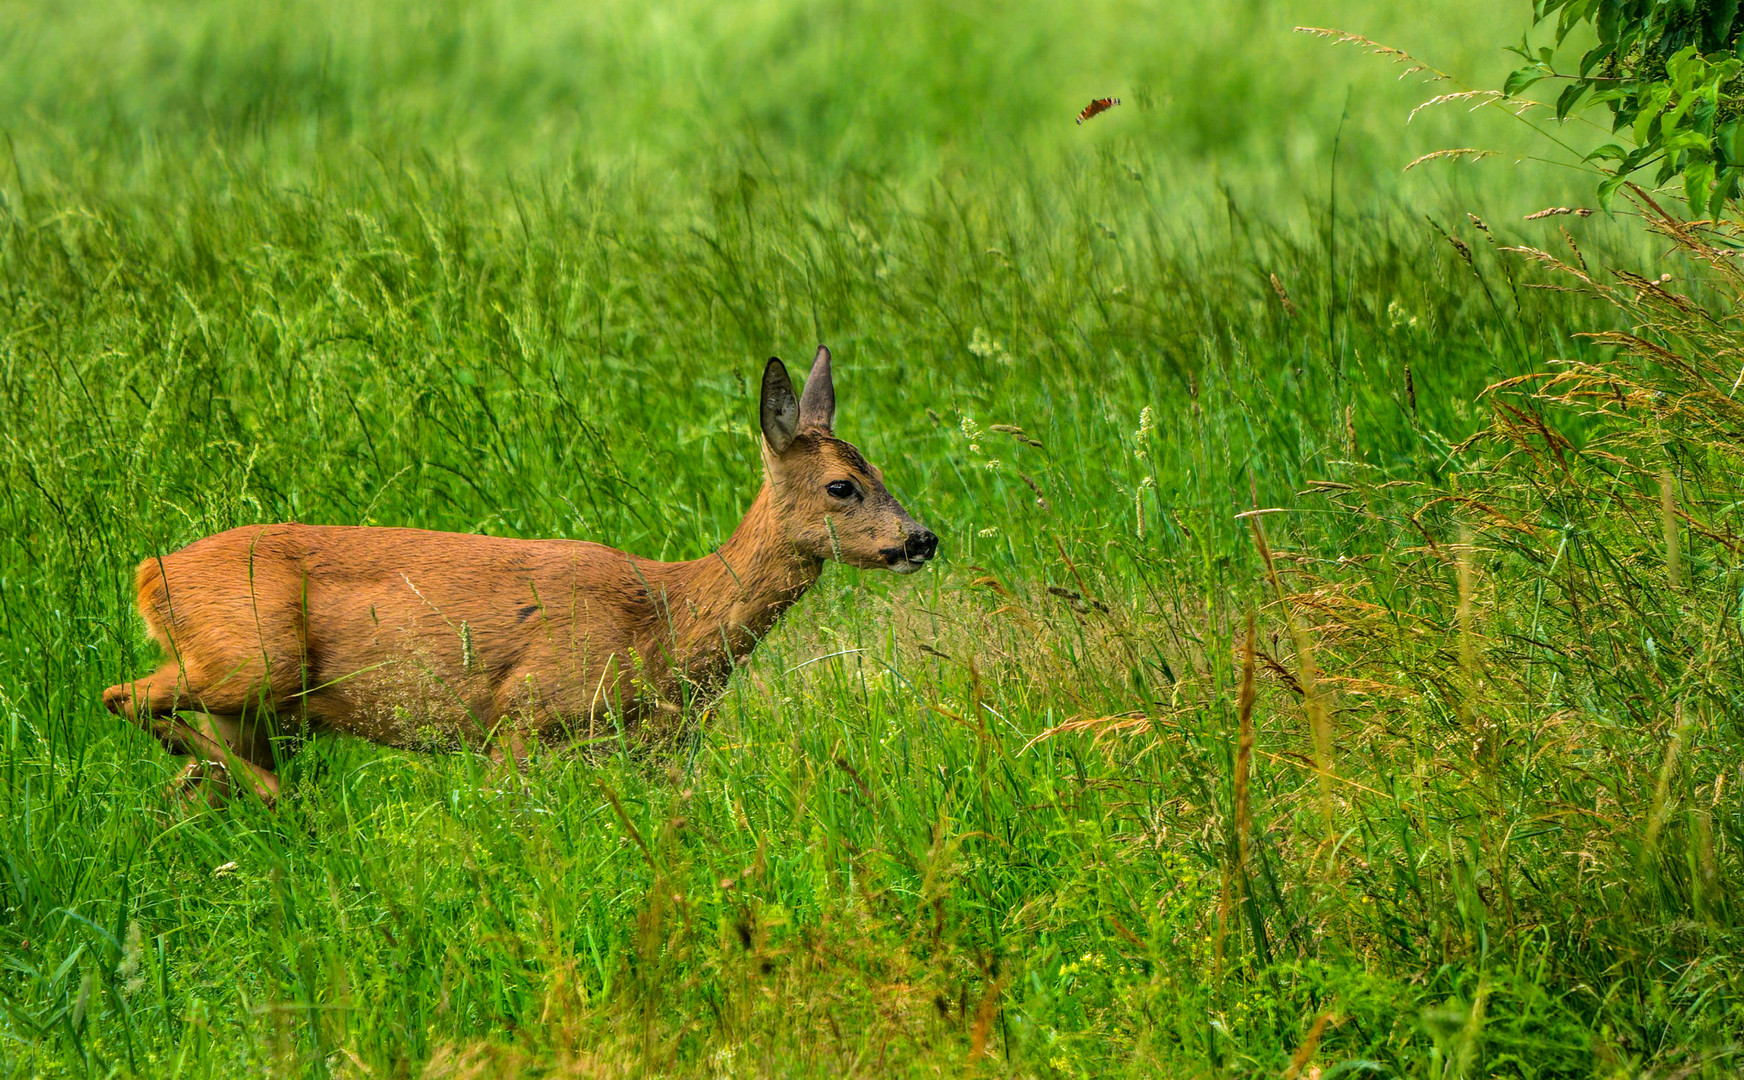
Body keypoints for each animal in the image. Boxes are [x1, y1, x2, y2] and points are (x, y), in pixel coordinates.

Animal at [102, 347, 941, 802]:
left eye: (881, 470)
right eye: (842, 485)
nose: (921, 538)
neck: (667, 620)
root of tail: (149, 573)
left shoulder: (660, 750)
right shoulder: (524, 716)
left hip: (260, 710)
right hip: (250, 656)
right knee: (125, 696)